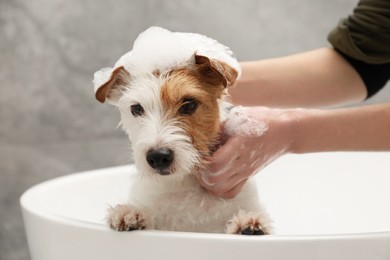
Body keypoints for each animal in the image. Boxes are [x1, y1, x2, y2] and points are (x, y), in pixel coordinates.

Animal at [92, 27, 270, 235]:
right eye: (136, 108)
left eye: (189, 104)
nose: (158, 157)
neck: (183, 182)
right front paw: (130, 213)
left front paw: (247, 222)